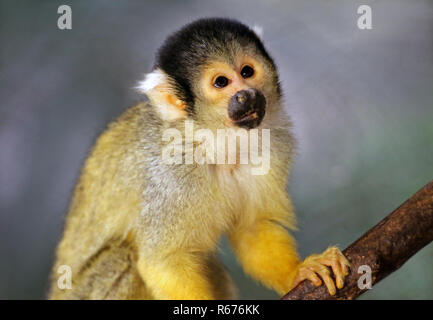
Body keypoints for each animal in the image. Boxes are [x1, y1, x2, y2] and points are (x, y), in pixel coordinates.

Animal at [49, 17, 350, 298]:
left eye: (247, 71)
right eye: (221, 82)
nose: (246, 95)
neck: (215, 140)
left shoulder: (273, 146)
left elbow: (251, 228)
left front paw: (298, 271)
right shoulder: (171, 177)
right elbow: (164, 260)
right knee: (122, 258)